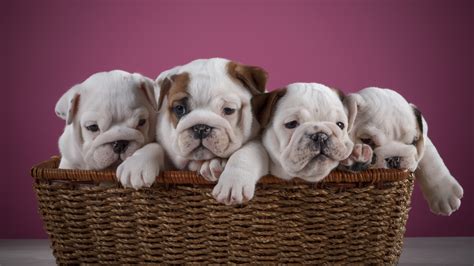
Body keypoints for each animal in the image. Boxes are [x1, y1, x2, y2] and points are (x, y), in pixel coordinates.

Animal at [342, 88, 464, 216]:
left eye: (413, 141)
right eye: (367, 140)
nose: (394, 159)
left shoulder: (424, 143)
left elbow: (431, 162)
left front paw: (445, 193)